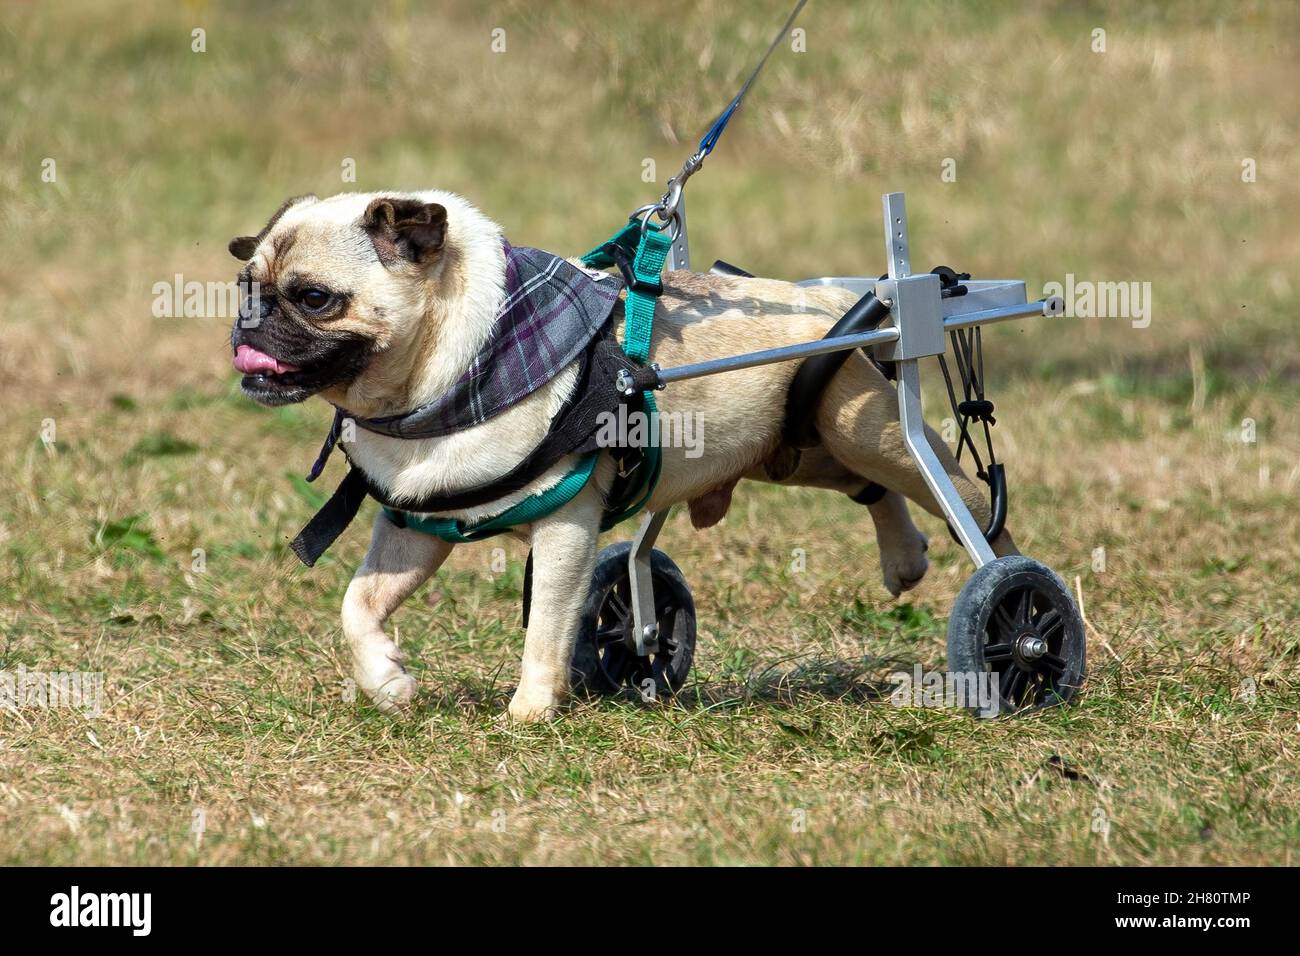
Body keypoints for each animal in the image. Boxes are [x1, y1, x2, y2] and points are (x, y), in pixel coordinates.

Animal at [228, 192, 1008, 717]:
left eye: (315, 298)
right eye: (248, 283)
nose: (249, 320)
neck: (455, 373)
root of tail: (823, 303)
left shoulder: (565, 526)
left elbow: (547, 624)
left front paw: (530, 711)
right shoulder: (417, 527)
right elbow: (358, 604)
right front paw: (387, 679)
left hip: (860, 425)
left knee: (956, 493)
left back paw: (1001, 577)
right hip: (796, 447)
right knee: (866, 488)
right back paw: (903, 561)